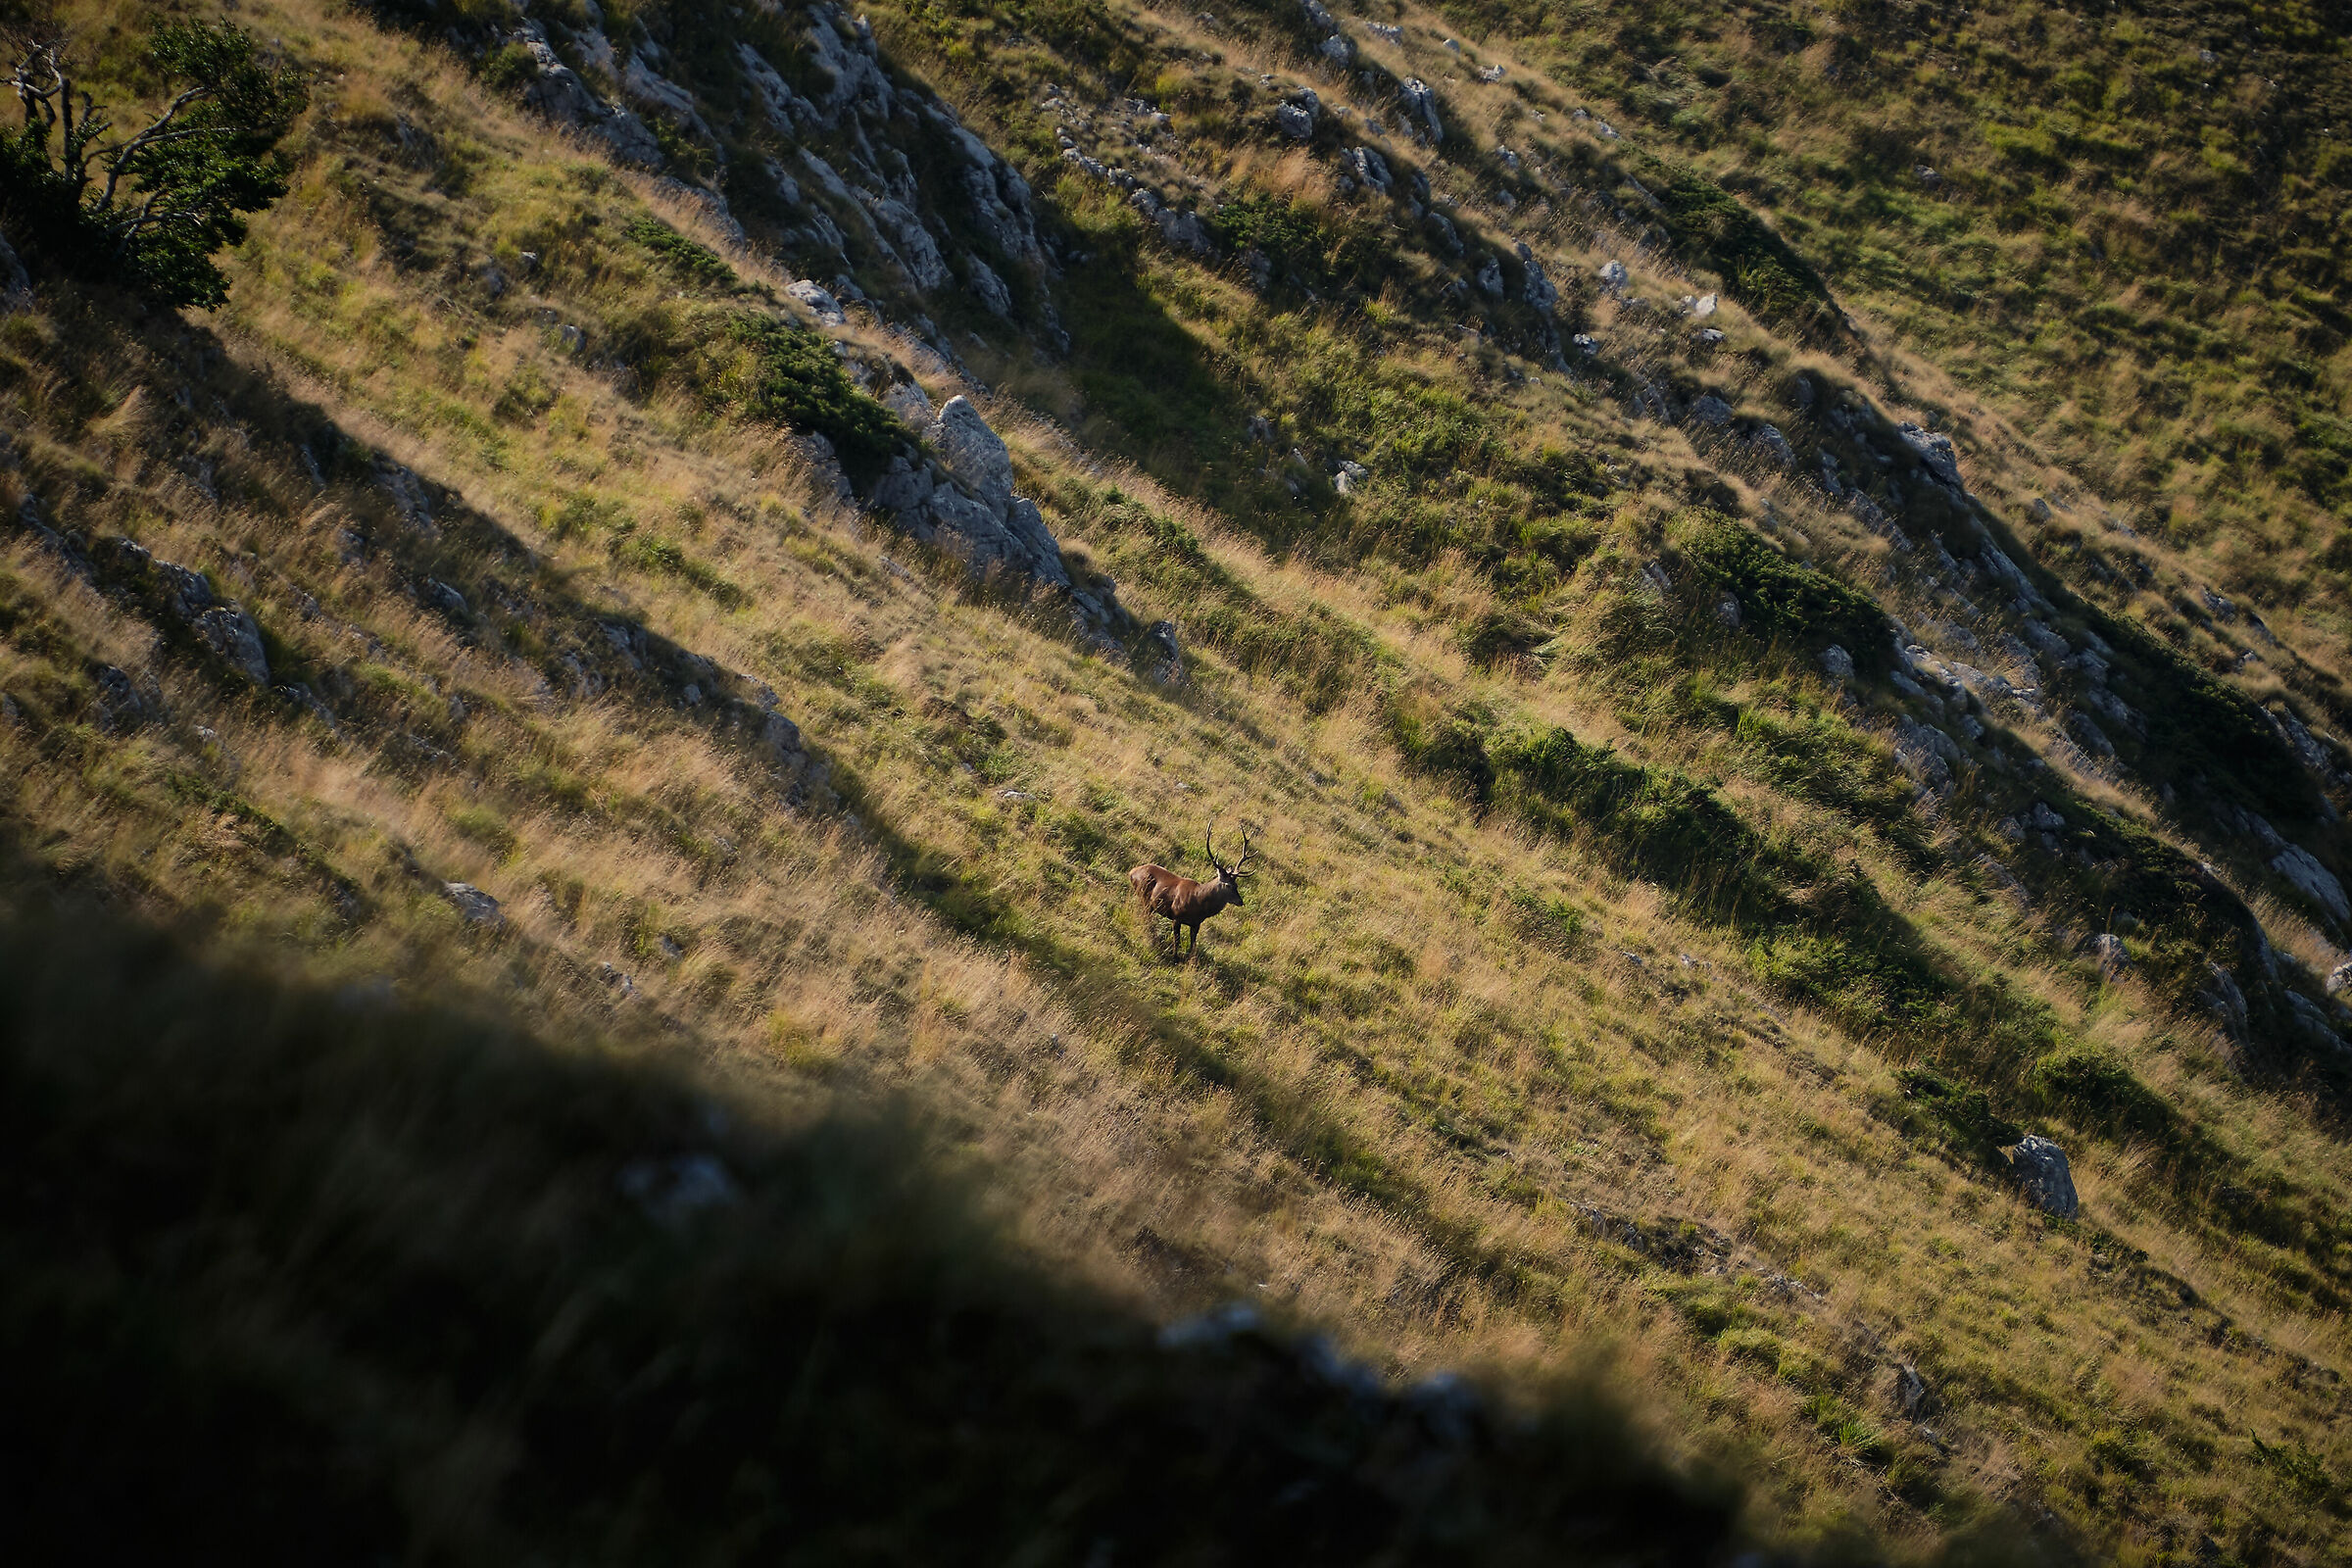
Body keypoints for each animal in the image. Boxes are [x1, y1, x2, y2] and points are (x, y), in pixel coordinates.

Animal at [1129, 821, 1253, 960]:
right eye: (1228, 885)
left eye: (1236, 884)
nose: (1240, 901)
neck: (1199, 904)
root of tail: (1132, 872)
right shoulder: (1176, 916)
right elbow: (1177, 940)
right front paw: (1175, 958)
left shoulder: (1196, 924)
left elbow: (1193, 944)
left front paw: (1191, 960)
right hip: (1144, 896)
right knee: (1144, 916)